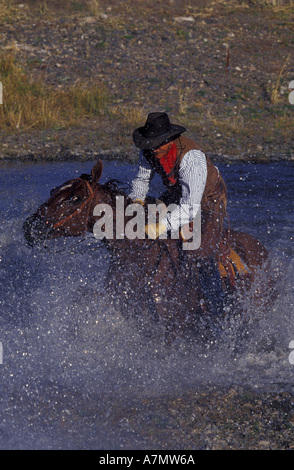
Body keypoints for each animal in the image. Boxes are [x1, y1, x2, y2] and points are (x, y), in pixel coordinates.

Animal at [22, 162, 276, 342]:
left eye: (75, 198)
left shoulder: (175, 328)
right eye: (53, 191)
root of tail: (262, 251)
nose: (30, 227)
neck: (138, 256)